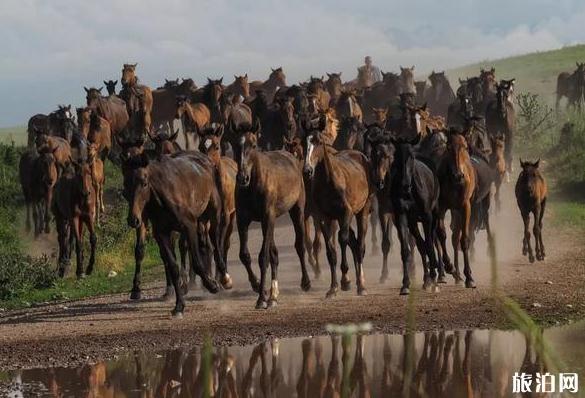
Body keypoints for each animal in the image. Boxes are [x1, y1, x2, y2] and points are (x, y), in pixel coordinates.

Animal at [230, 118, 310, 308]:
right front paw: (259, 286)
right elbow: (245, 255)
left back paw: (305, 282)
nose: (242, 178)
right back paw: (273, 294)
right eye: (236, 144)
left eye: (253, 144)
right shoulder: (243, 220)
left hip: (296, 210)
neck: (253, 184)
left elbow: (263, 256)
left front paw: (261, 298)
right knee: (275, 254)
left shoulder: (267, 217)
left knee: (299, 245)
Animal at [304, 125, 372, 298]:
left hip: (361, 212)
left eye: (318, 141)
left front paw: (345, 281)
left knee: (359, 245)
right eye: (304, 140)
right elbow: (331, 251)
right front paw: (333, 288)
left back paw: (361, 285)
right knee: (354, 242)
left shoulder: (345, 214)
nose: (307, 170)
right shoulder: (324, 218)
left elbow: (342, 240)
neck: (329, 182)